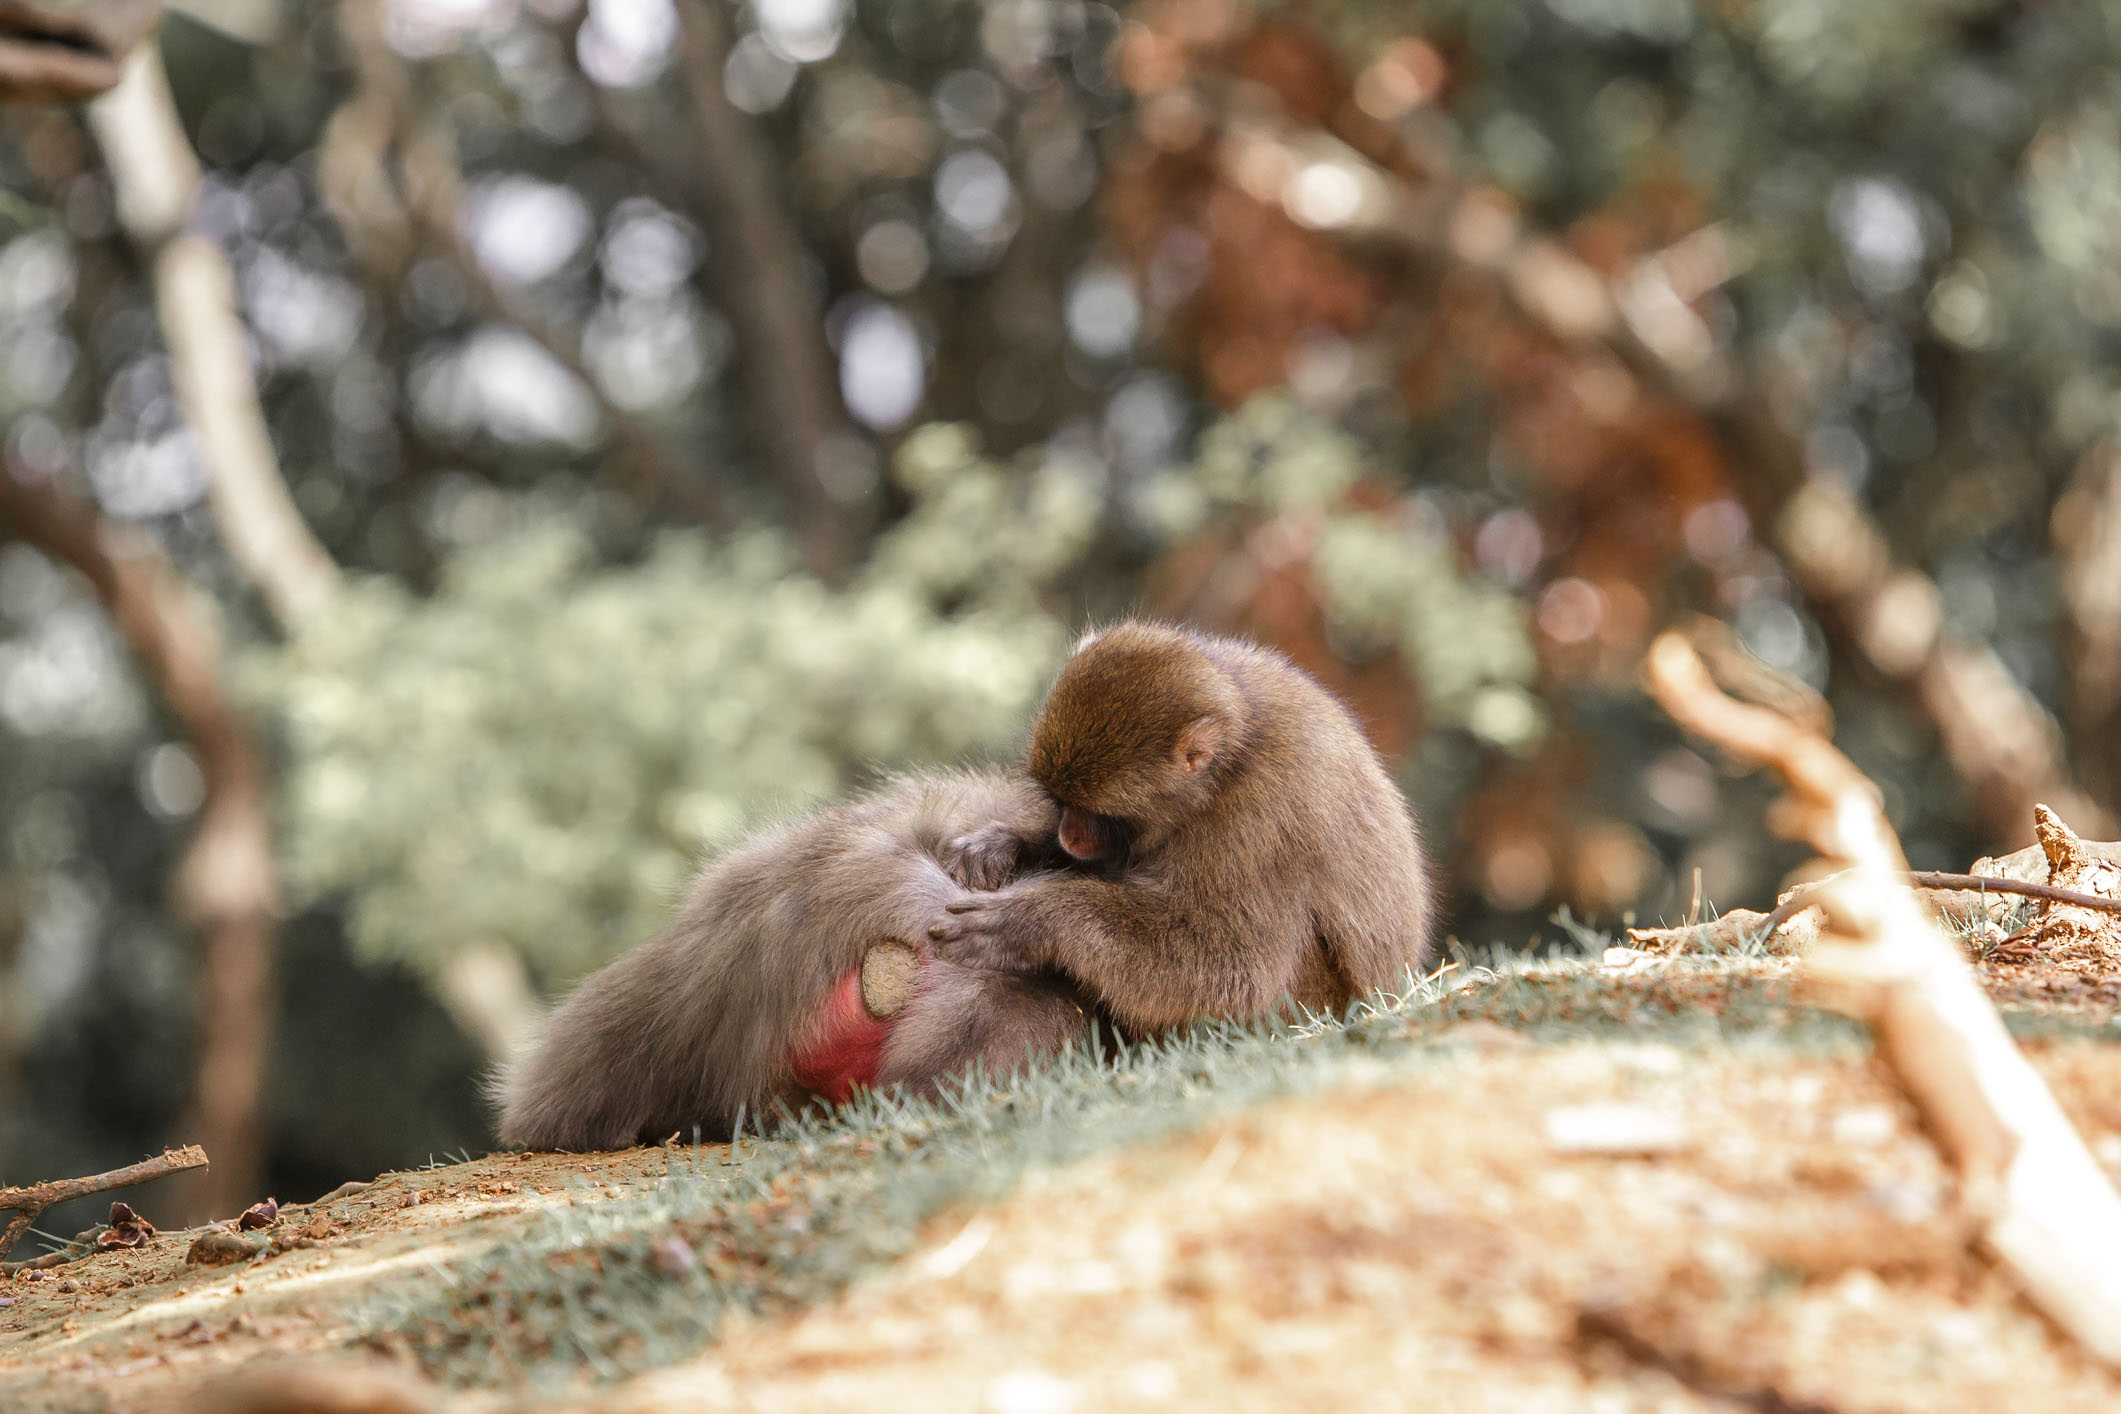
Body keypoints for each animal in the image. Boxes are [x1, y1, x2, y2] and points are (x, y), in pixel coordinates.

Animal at [927, 621, 1431, 1034]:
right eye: (1061, 803)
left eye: (1102, 817)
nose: (1070, 835)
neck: (1231, 760)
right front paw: (1002, 845)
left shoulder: (1259, 824)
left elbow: (1234, 969)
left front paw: (1027, 923)